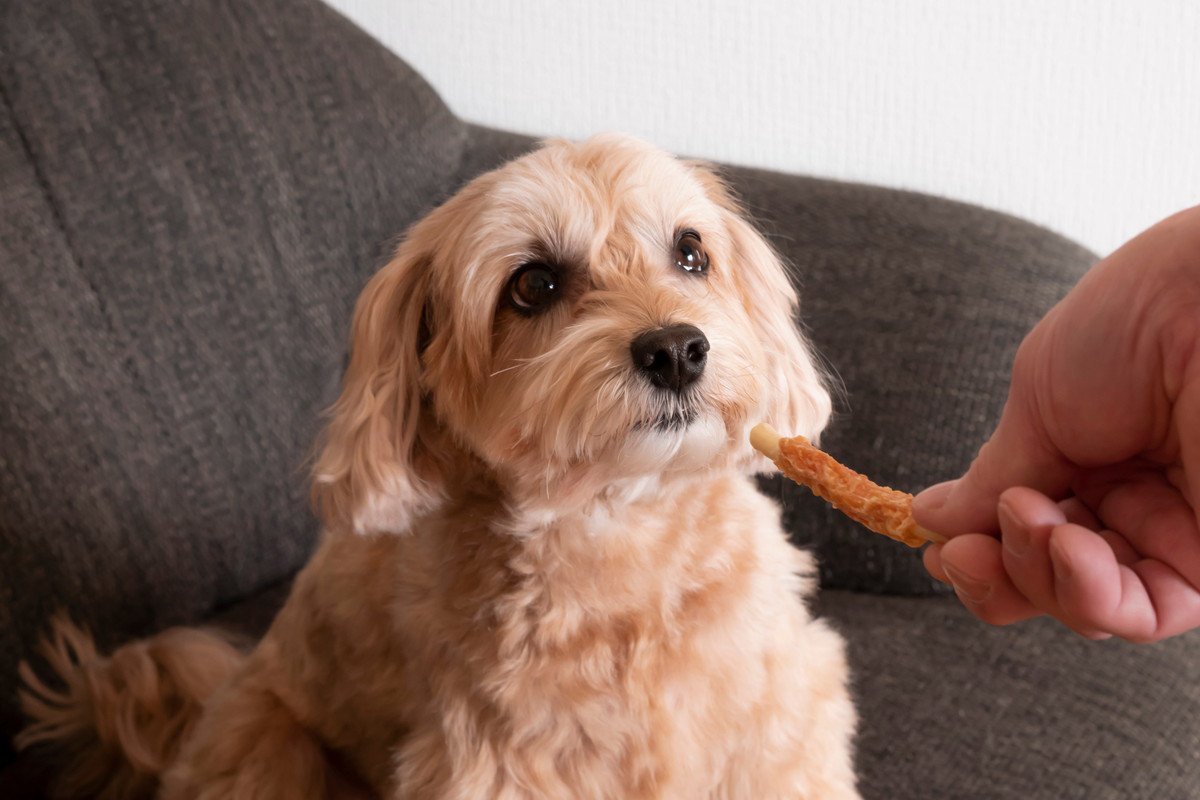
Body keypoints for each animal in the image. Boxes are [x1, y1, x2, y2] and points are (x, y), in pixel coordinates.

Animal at [21, 136, 864, 800]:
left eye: (691, 252)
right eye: (534, 284)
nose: (677, 349)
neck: (623, 530)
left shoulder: (786, 720)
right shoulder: (495, 762)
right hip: (267, 745)